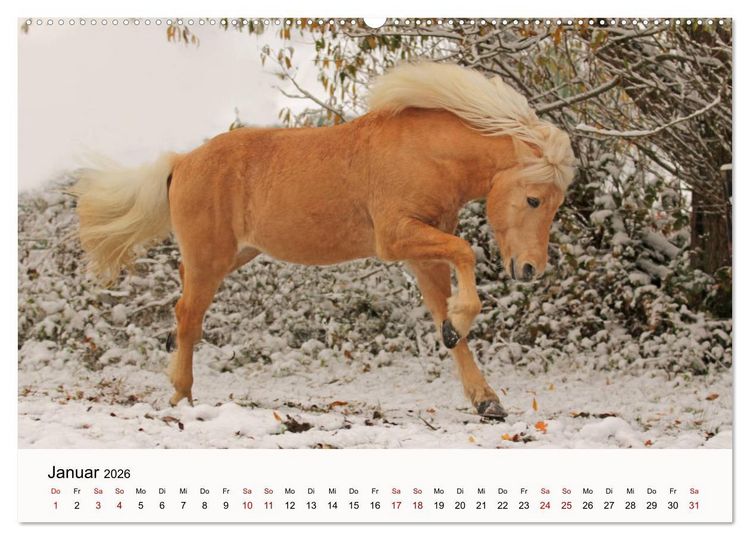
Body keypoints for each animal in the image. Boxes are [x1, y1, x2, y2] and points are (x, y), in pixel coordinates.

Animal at [71, 62, 576, 420]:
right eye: (533, 199)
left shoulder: (423, 254)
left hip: (231, 256)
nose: (529, 269)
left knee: (183, 305)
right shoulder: (398, 238)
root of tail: (182, 161)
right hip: (208, 259)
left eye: (554, 205)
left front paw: (485, 397)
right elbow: (466, 254)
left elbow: (447, 321)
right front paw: (462, 327)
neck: (426, 155)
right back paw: (181, 395)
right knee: (187, 317)